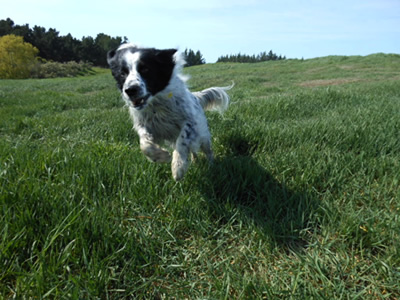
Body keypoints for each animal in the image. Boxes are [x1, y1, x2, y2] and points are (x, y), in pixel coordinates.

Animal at [107, 43, 231, 180]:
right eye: (122, 73)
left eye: (145, 69)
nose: (130, 90)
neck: (156, 104)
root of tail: (195, 97)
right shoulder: (144, 124)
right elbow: (144, 143)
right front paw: (160, 156)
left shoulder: (190, 122)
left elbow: (182, 140)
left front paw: (178, 166)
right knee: (194, 150)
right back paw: (194, 161)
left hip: (203, 135)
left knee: (207, 150)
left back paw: (211, 165)